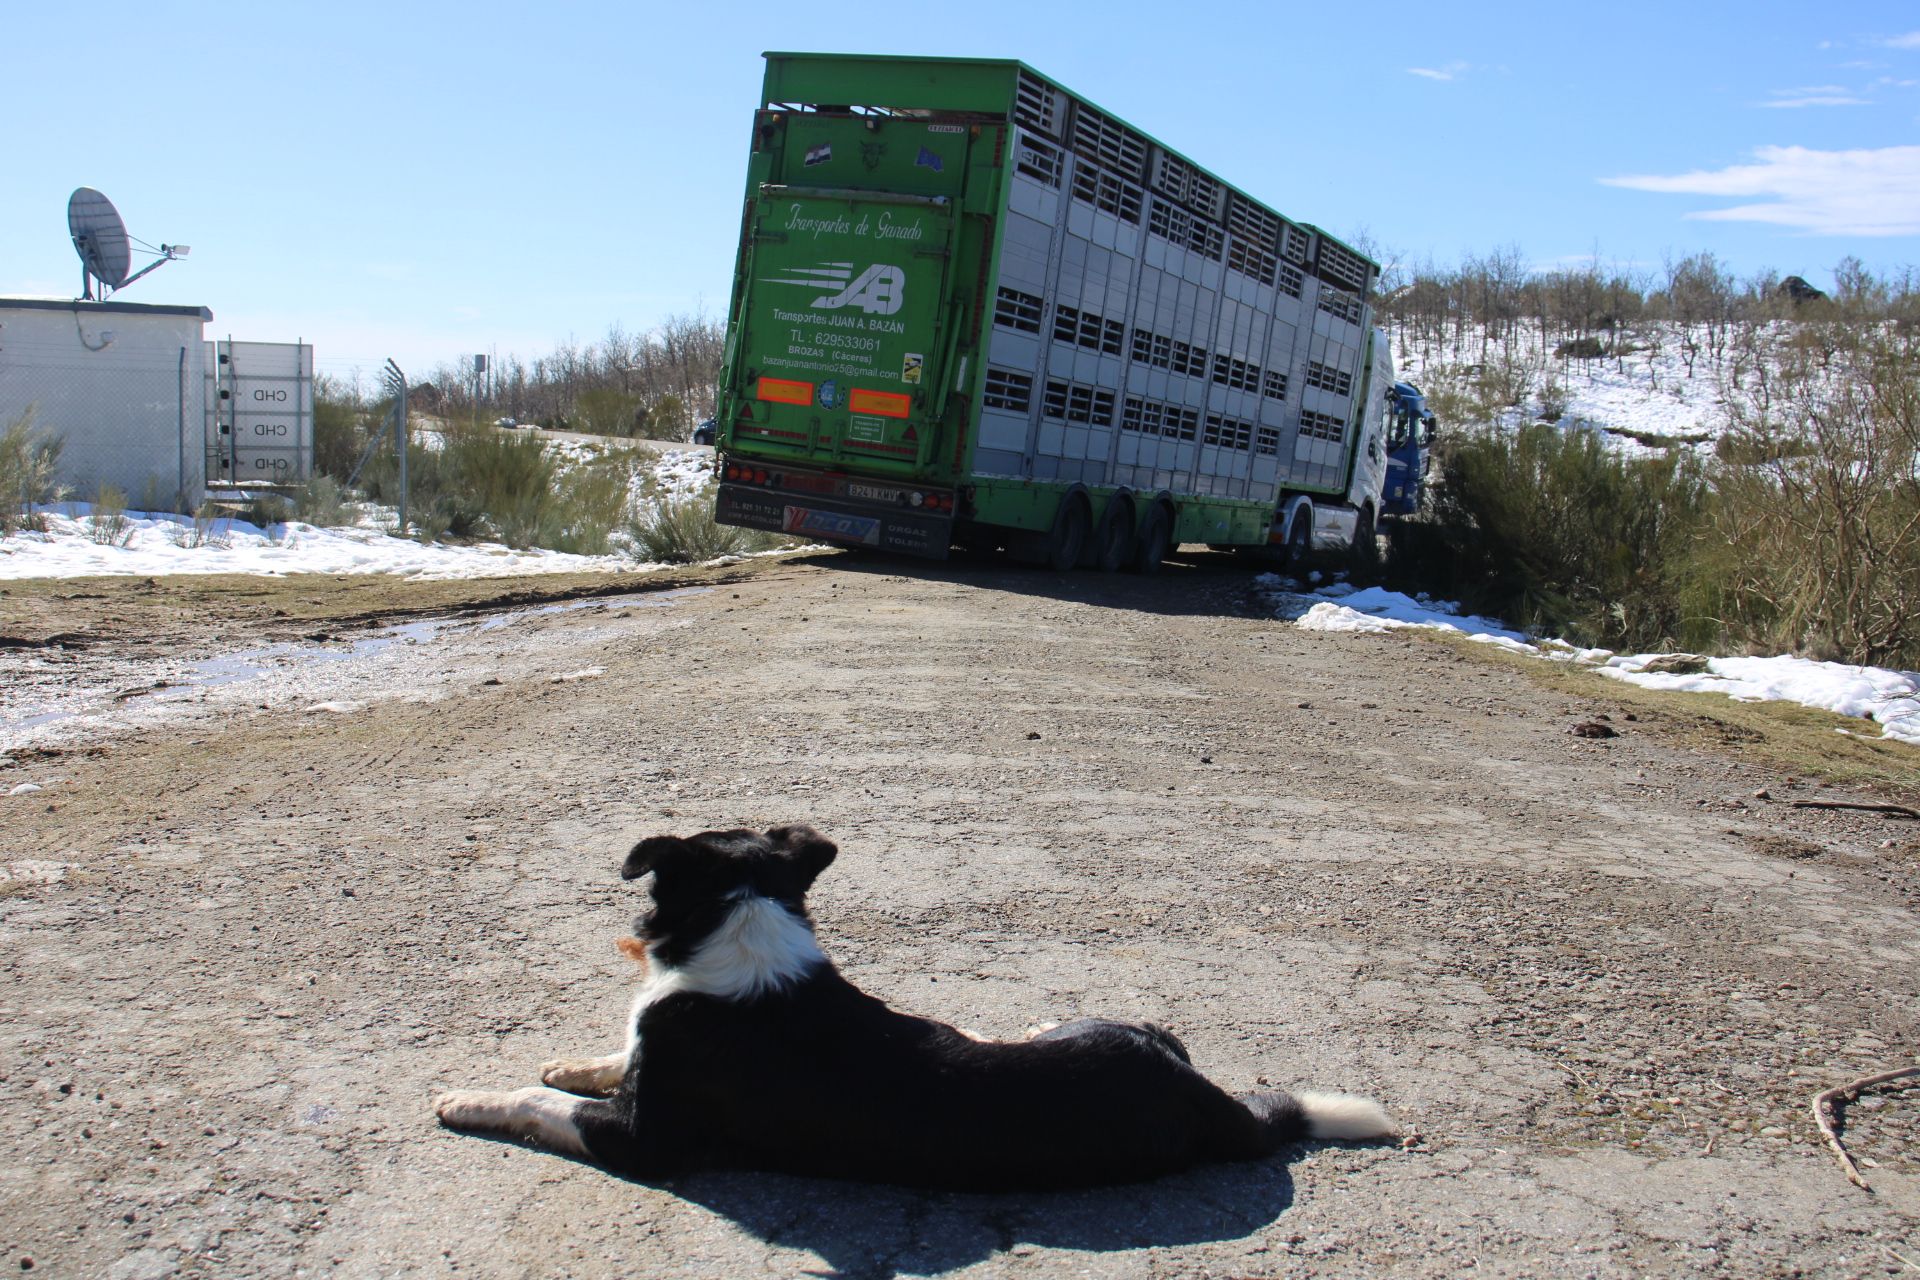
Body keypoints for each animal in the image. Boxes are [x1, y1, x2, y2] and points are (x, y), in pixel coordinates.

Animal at [435, 825, 1397, 1189]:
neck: (745, 928)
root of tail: (1210, 1103)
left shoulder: (645, 1141)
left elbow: (540, 1102)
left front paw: (465, 1097)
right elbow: (603, 1059)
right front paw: (579, 1058)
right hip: (1126, 1025)